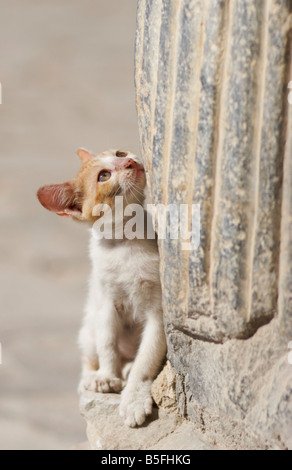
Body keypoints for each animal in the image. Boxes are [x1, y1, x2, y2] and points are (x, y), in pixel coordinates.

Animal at [37, 149, 167, 428]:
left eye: (119, 153)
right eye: (104, 176)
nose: (129, 161)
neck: (127, 241)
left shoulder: (158, 312)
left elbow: (146, 358)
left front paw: (133, 398)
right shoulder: (106, 302)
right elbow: (107, 343)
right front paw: (107, 375)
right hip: (88, 326)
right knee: (90, 354)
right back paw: (93, 376)